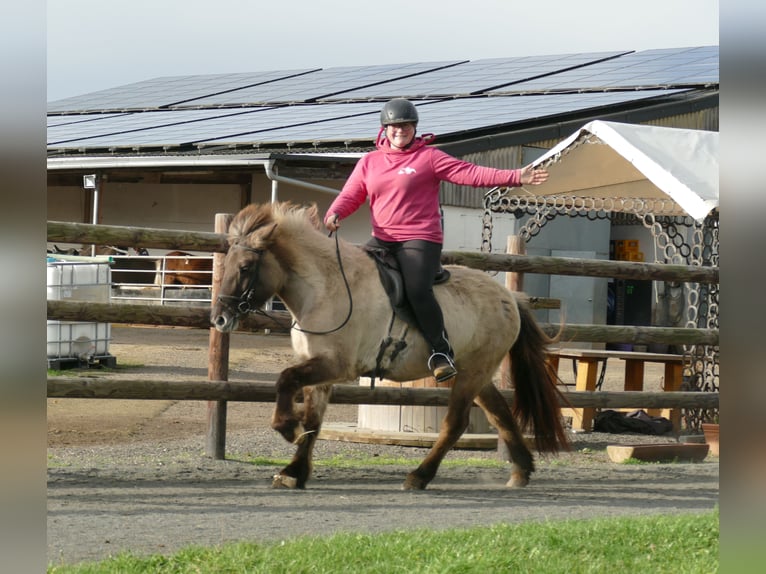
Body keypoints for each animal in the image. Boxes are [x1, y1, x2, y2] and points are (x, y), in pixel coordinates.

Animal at [210, 202, 568, 490]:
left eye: (245, 268)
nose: (219, 319)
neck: (325, 288)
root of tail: (509, 297)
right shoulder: (319, 368)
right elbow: (312, 420)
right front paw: (294, 472)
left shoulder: (335, 365)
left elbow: (285, 379)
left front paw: (286, 428)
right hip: (475, 372)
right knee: (501, 414)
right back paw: (521, 471)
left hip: (471, 373)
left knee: (456, 423)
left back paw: (419, 476)